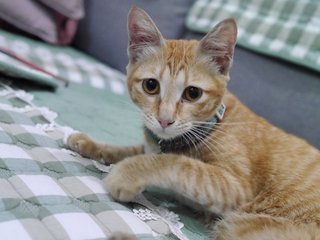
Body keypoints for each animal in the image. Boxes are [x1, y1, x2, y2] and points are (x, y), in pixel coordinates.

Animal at [67, 6, 320, 240]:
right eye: (151, 85)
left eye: (192, 93)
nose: (165, 119)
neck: (211, 125)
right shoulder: (151, 144)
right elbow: (135, 150)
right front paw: (92, 144)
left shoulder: (236, 186)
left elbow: (178, 164)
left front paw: (128, 173)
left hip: (249, 225)